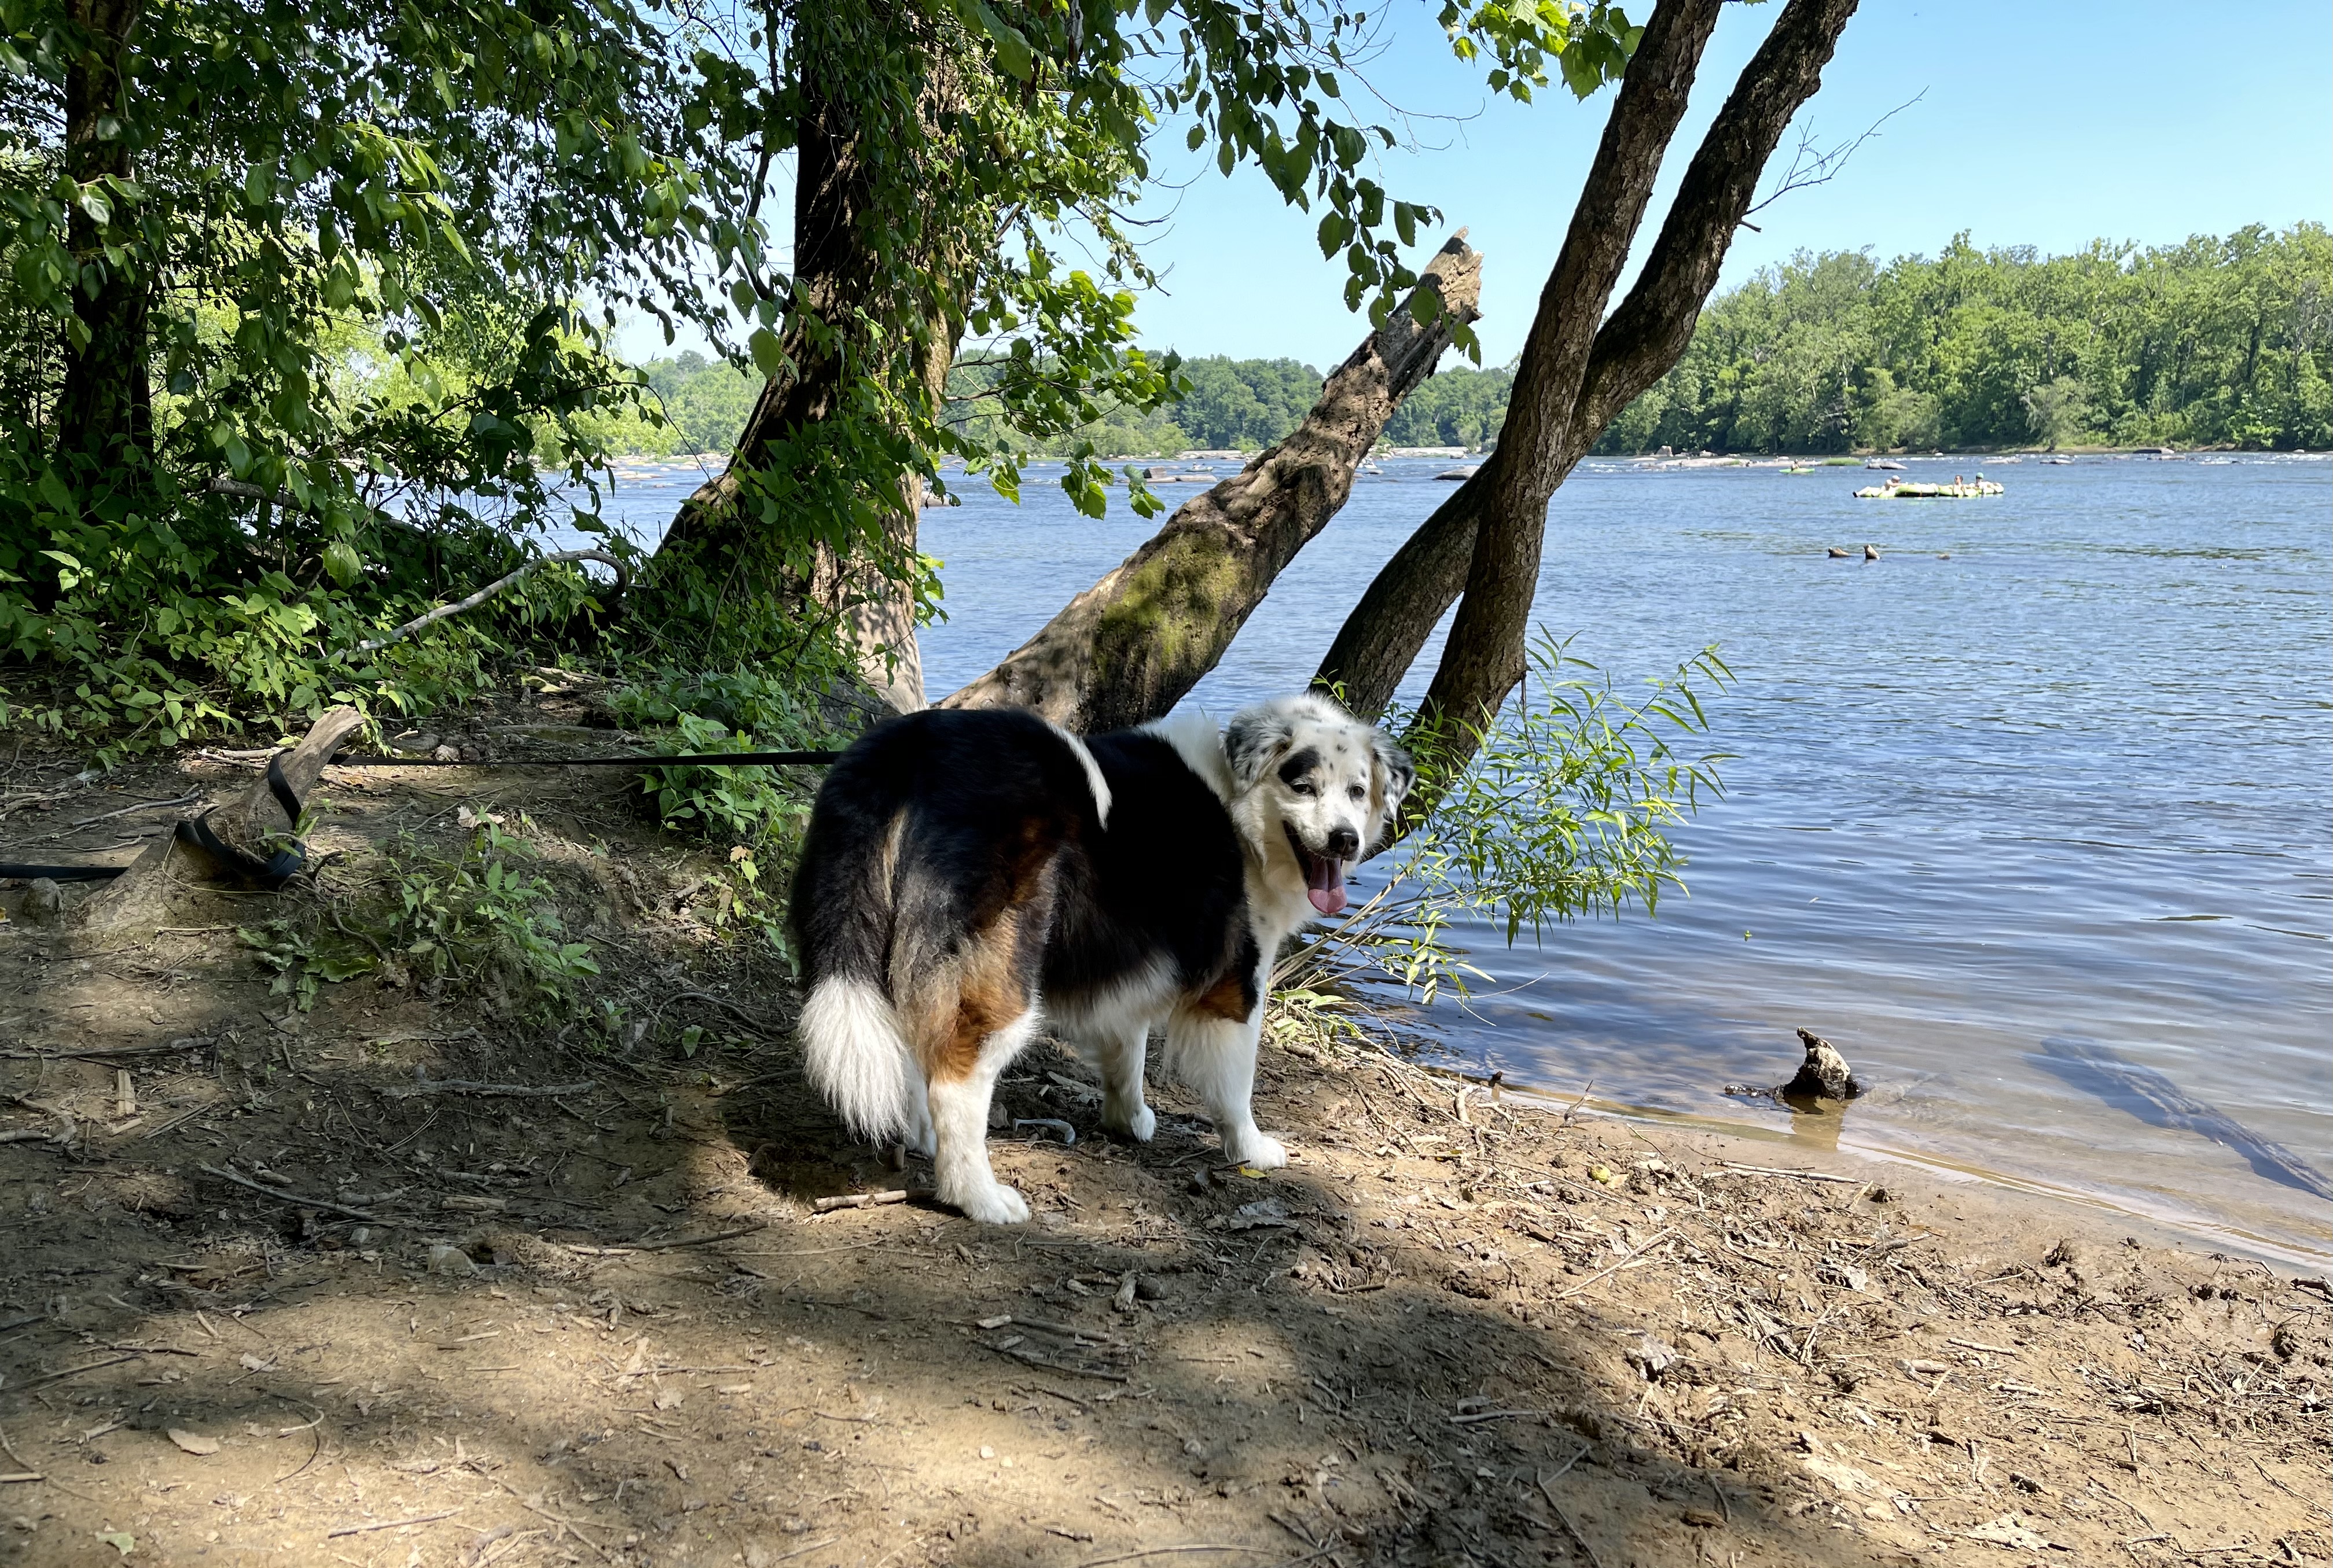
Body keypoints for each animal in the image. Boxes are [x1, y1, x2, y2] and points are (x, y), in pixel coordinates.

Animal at [789, 694, 1414, 1223]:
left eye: (1356, 791)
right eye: (1302, 785)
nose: (1343, 840)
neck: (1243, 813)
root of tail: (908, 747)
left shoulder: (1129, 964)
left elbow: (1125, 1049)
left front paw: (1127, 1119)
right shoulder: (1237, 984)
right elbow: (1235, 1085)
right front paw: (1250, 1148)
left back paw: (920, 1137)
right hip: (1000, 974)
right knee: (956, 1078)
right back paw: (978, 1197)